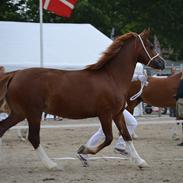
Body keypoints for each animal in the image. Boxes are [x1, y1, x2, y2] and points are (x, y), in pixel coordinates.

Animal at [0, 29, 164, 169]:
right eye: (150, 46)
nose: (162, 63)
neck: (111, 78)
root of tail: (15, 74)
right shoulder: (105, 114)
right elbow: (109, 138)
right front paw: (84, 150)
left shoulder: (117, 114)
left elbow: (126, 136)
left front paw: (140, 161)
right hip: (33, 113)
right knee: (33, 137)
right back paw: (52, 165)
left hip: (20, 113)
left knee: (3, 128)